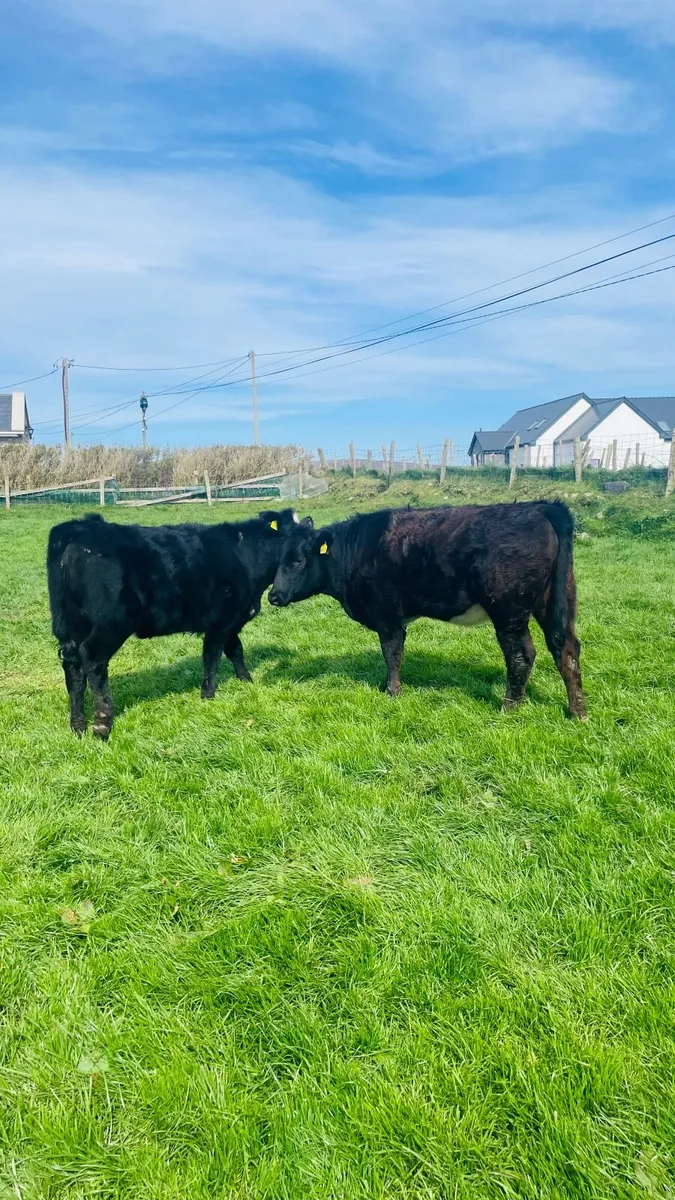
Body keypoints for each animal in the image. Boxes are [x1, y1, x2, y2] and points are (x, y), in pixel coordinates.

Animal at [47, 508, 313, 740]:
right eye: (292, 536)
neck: (245, 556)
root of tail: (79, 527)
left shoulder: (232, 620)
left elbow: (236, 650)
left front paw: (246, 681)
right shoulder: (219, 622)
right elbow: (212, 658)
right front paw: (208, 696)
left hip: (69, 627)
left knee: (74, 670)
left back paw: (78, 727)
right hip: (110, 624)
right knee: (93, 660)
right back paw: (102, 724)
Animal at [269, 501, 586, 719]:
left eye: (297, 560)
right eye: (280, 557)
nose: (273, 595)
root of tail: (539, 507)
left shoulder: (387, 615)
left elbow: (392, 654)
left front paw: (392, 692)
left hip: (509, 612)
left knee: (522, 655)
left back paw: (509, 707)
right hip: (554, 601)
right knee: (566, 647)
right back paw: (577, 711)